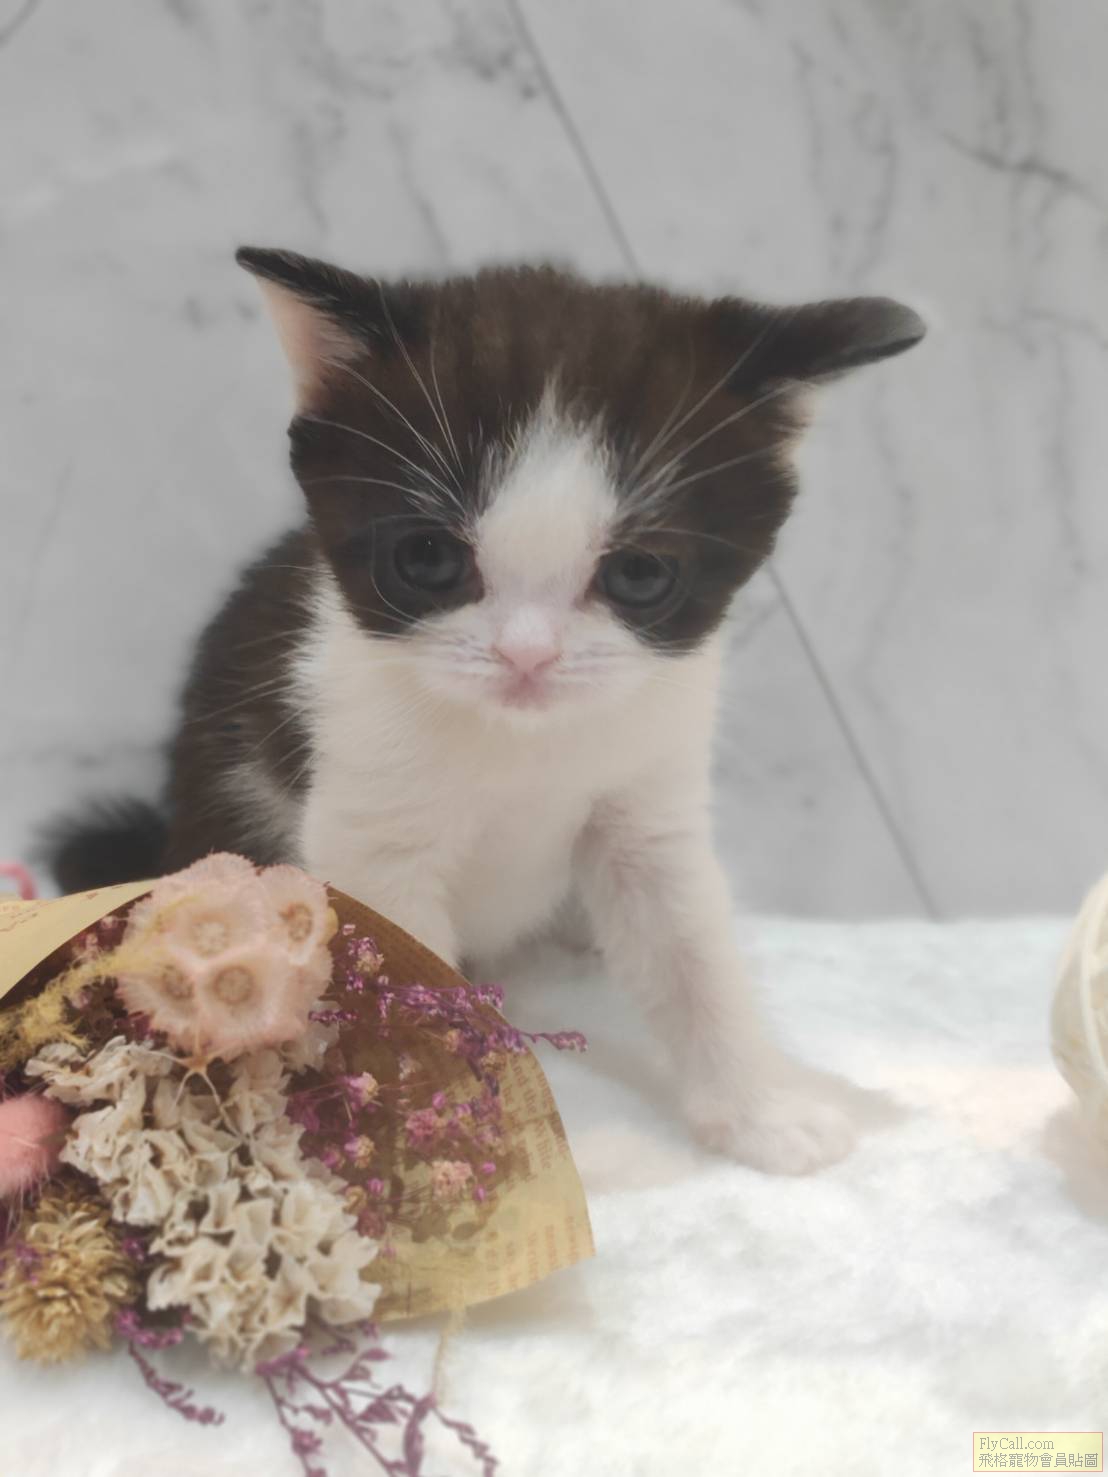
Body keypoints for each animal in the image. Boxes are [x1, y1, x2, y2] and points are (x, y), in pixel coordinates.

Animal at [49, 247, 924, 1174]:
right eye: (428, 557)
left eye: (640, 573)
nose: (527, 653)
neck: (521, 741)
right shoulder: (373, 836)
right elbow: (414, 992)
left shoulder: (650, 791)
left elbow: (689, 947)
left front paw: (764, 1108)